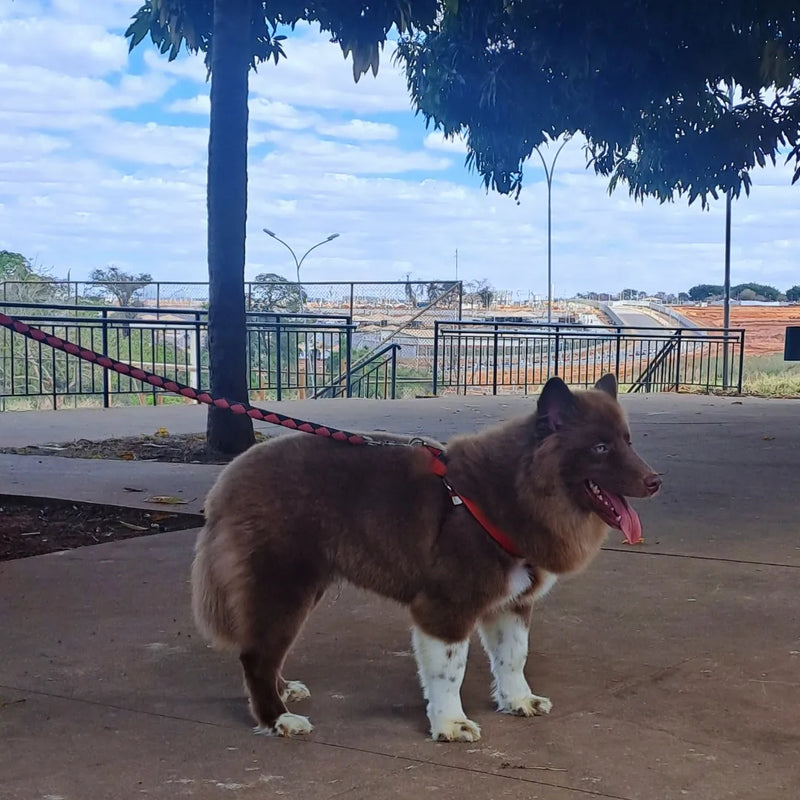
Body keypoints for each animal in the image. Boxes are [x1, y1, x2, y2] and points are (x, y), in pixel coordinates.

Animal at [191, 376, 660, 744]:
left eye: (628, 441)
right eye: (600, 447)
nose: (655, 481)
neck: (512, 491)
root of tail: (226, 483)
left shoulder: (512, 603)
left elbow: (513, 657)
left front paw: (518, 700)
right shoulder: (446, 607)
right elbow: (450, 671)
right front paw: (450, 724)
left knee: (266, 653)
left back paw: (285, 691)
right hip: (282, 586)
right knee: (256, 656)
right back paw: (278, 719)